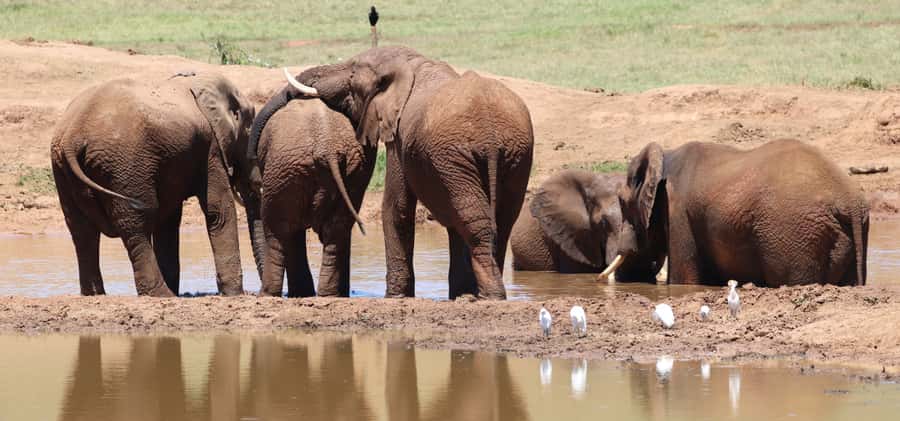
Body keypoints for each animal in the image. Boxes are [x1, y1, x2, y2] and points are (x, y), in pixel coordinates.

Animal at [51, 72, 255, 296]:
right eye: (250, 129)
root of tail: (72, 136)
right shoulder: (211, 149)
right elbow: (218, 211)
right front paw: (236, 294)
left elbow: (169, 220)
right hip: (125, 165)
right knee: (137, 224)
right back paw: (161, 294)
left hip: (64, 168)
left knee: (81, 229)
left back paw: (95, 294)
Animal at [245, 99, 375, 297]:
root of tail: (328, 149)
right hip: (353, 172)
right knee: (337, 228)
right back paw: (327, 294)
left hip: (284, 169)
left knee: (277, 231)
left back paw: (267, 294)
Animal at [603, 139, 869, 287]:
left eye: (621, 201)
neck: (666, 155)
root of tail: (850, 202)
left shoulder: (679, 212)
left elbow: (684, 280)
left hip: (795, 232)